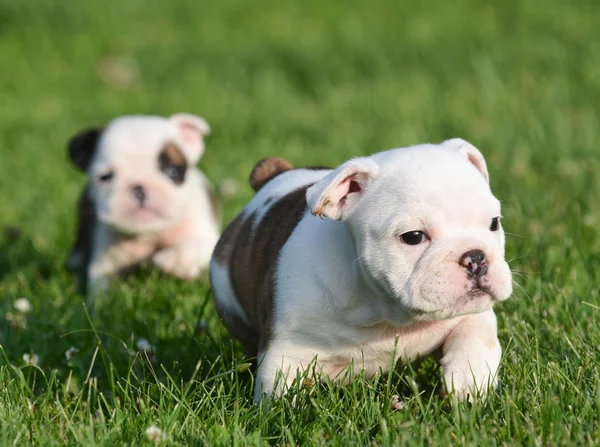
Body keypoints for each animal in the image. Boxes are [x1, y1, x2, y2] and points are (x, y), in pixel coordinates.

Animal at [66, 114, 220, 302]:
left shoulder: (205, 236)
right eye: (105, 176)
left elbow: (195, 245)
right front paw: (105, 304)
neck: (148, 234)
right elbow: (102, 286)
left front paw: (174, 260)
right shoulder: (106, 261)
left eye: (173, 171)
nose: (139, 187)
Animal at [210, 139, 510, 402]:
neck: (385, 312)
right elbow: (280, 397)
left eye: (494, 223)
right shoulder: (286, 353)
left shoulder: (471, 312)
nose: (475, 257)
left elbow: (475, 335)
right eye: (413, 237)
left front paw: (469, 384)